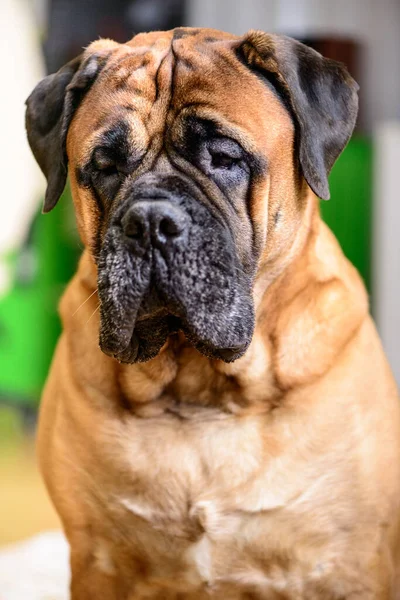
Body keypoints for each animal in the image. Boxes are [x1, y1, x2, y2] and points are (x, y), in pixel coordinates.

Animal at [25, 25, 400, 596]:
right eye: (106, 167)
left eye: (224, 157)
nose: (149, 221)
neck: (203, 392)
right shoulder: (98, 564)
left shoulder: (350, 567)